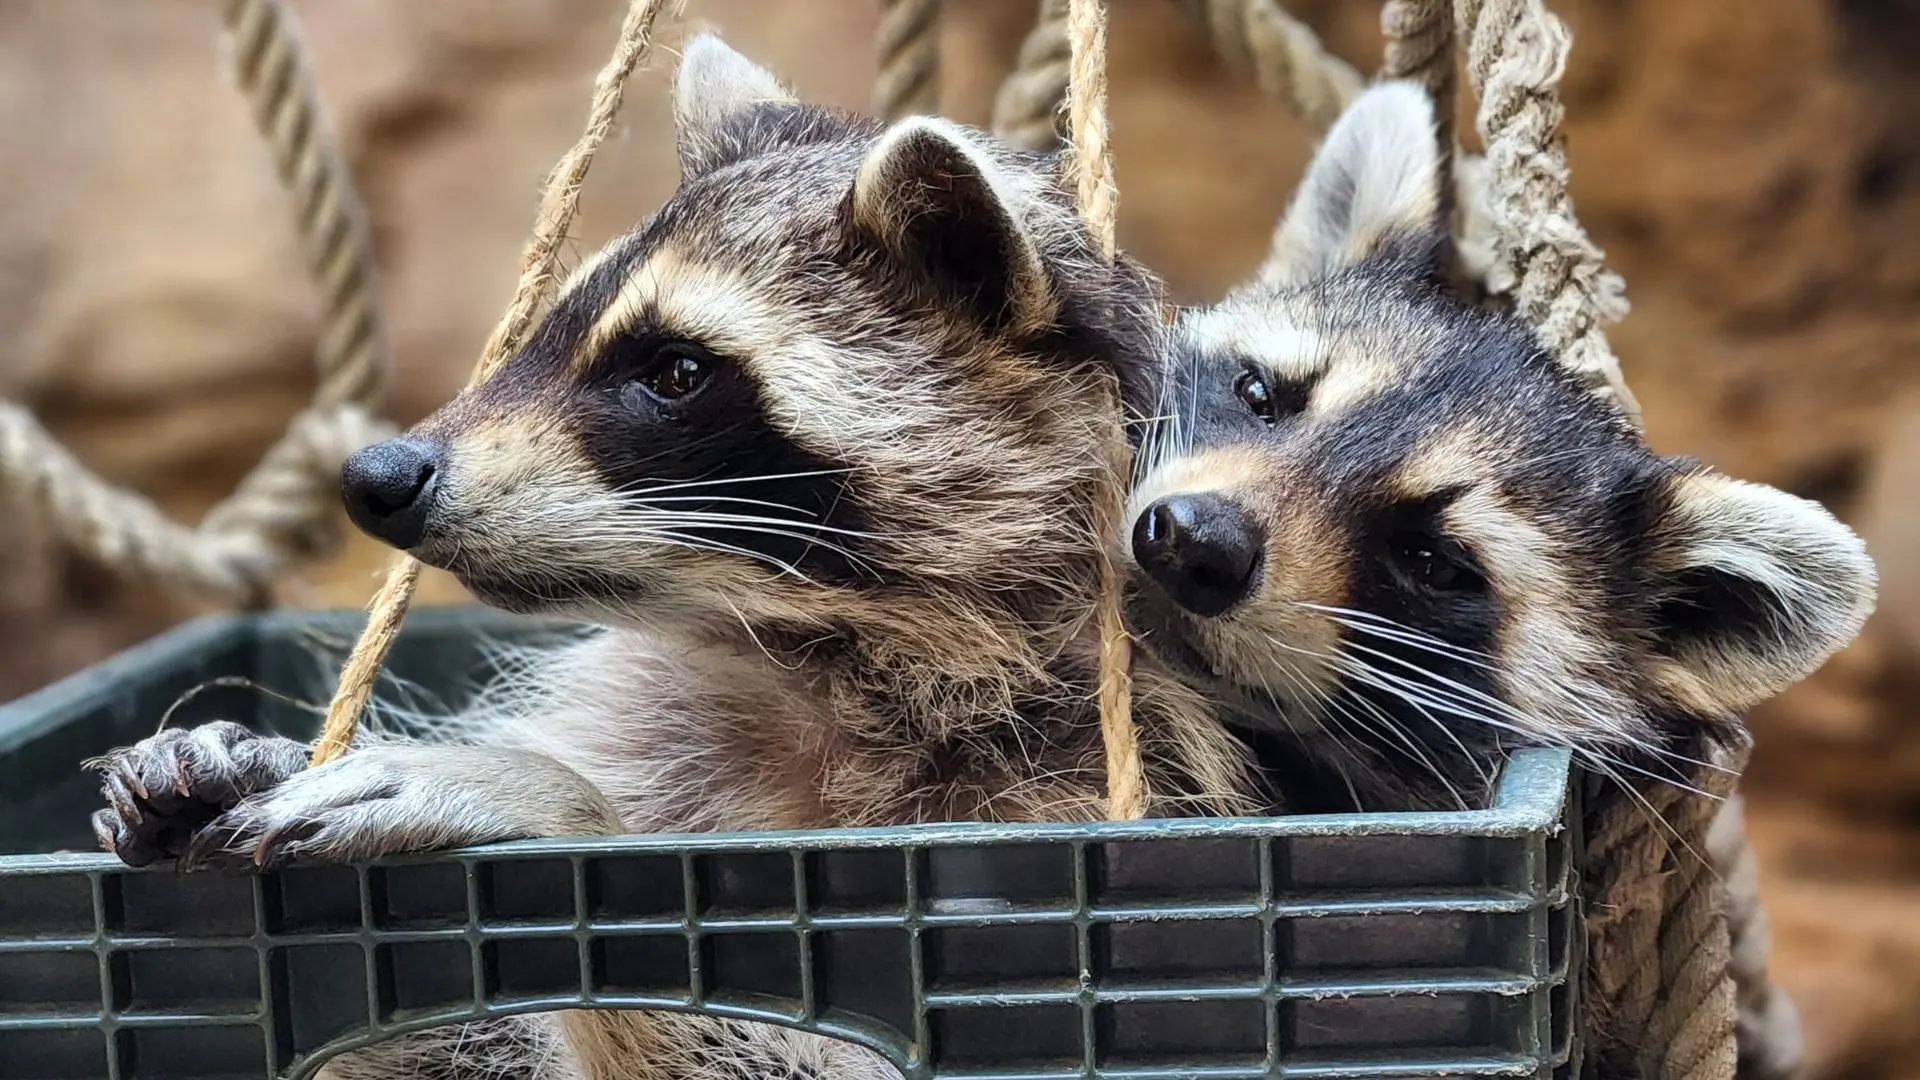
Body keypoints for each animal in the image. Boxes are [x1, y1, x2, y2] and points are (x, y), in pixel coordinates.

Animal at [88, 34, 1262, 1080]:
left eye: (675, 371)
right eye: (551, 326)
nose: (378, 475)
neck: (825, 650)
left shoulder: (1099, 790)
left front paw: (551, 802)